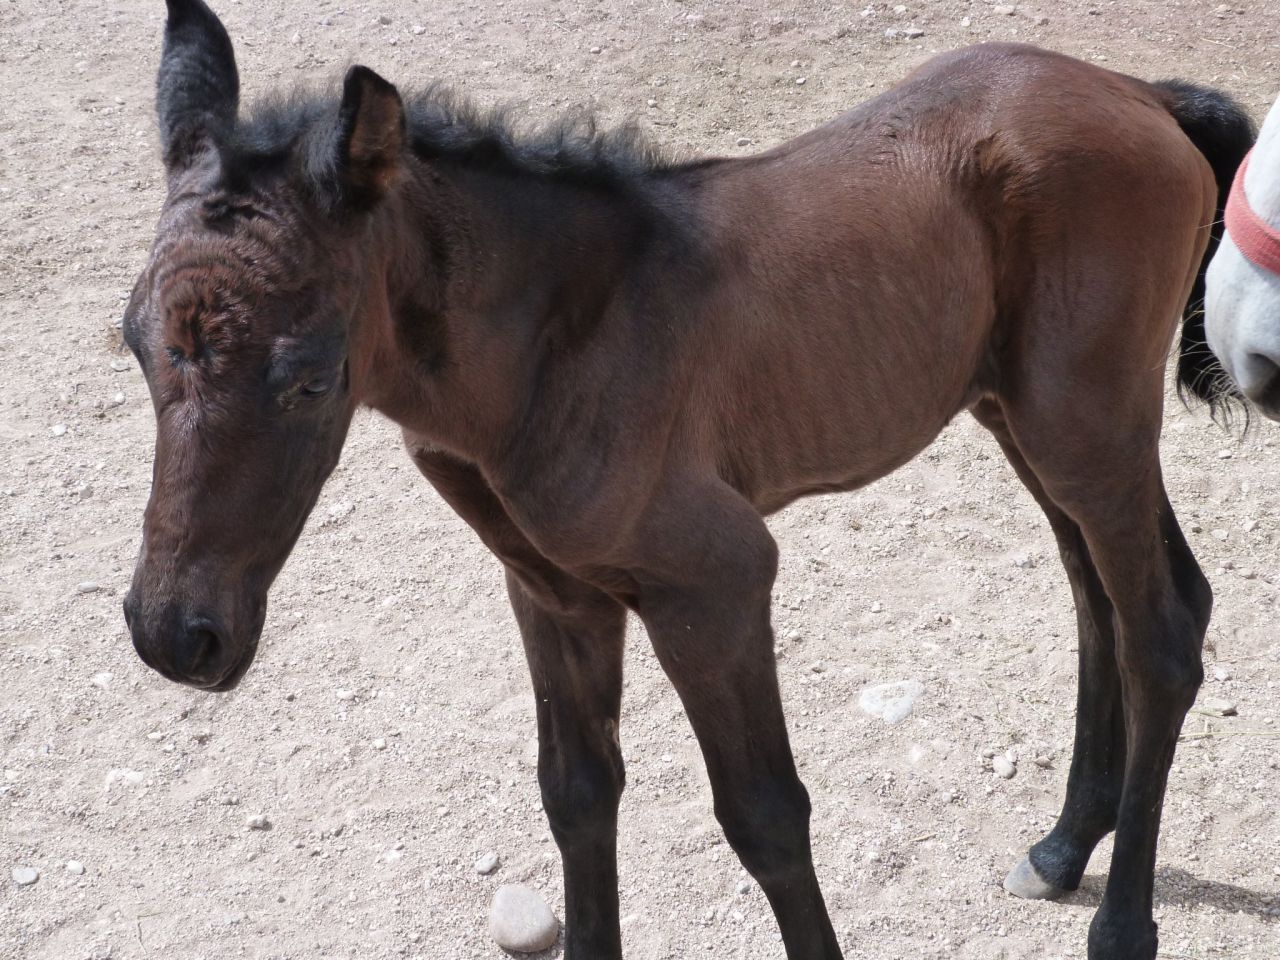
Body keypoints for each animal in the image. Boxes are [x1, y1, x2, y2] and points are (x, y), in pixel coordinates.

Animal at [121, 2, 1254, 958]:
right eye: (133, 343)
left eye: (308, 376)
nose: (175, 635)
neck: (559, 340)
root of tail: (1141, 93)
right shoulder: (553, 593)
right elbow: (576, 795)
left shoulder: (715, 581)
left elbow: (765, 816)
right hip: (1018, 412)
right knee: (1101, 600)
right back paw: (1061, 848)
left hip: (1083, 422)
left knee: (1159, 627)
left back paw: (1121, 927)